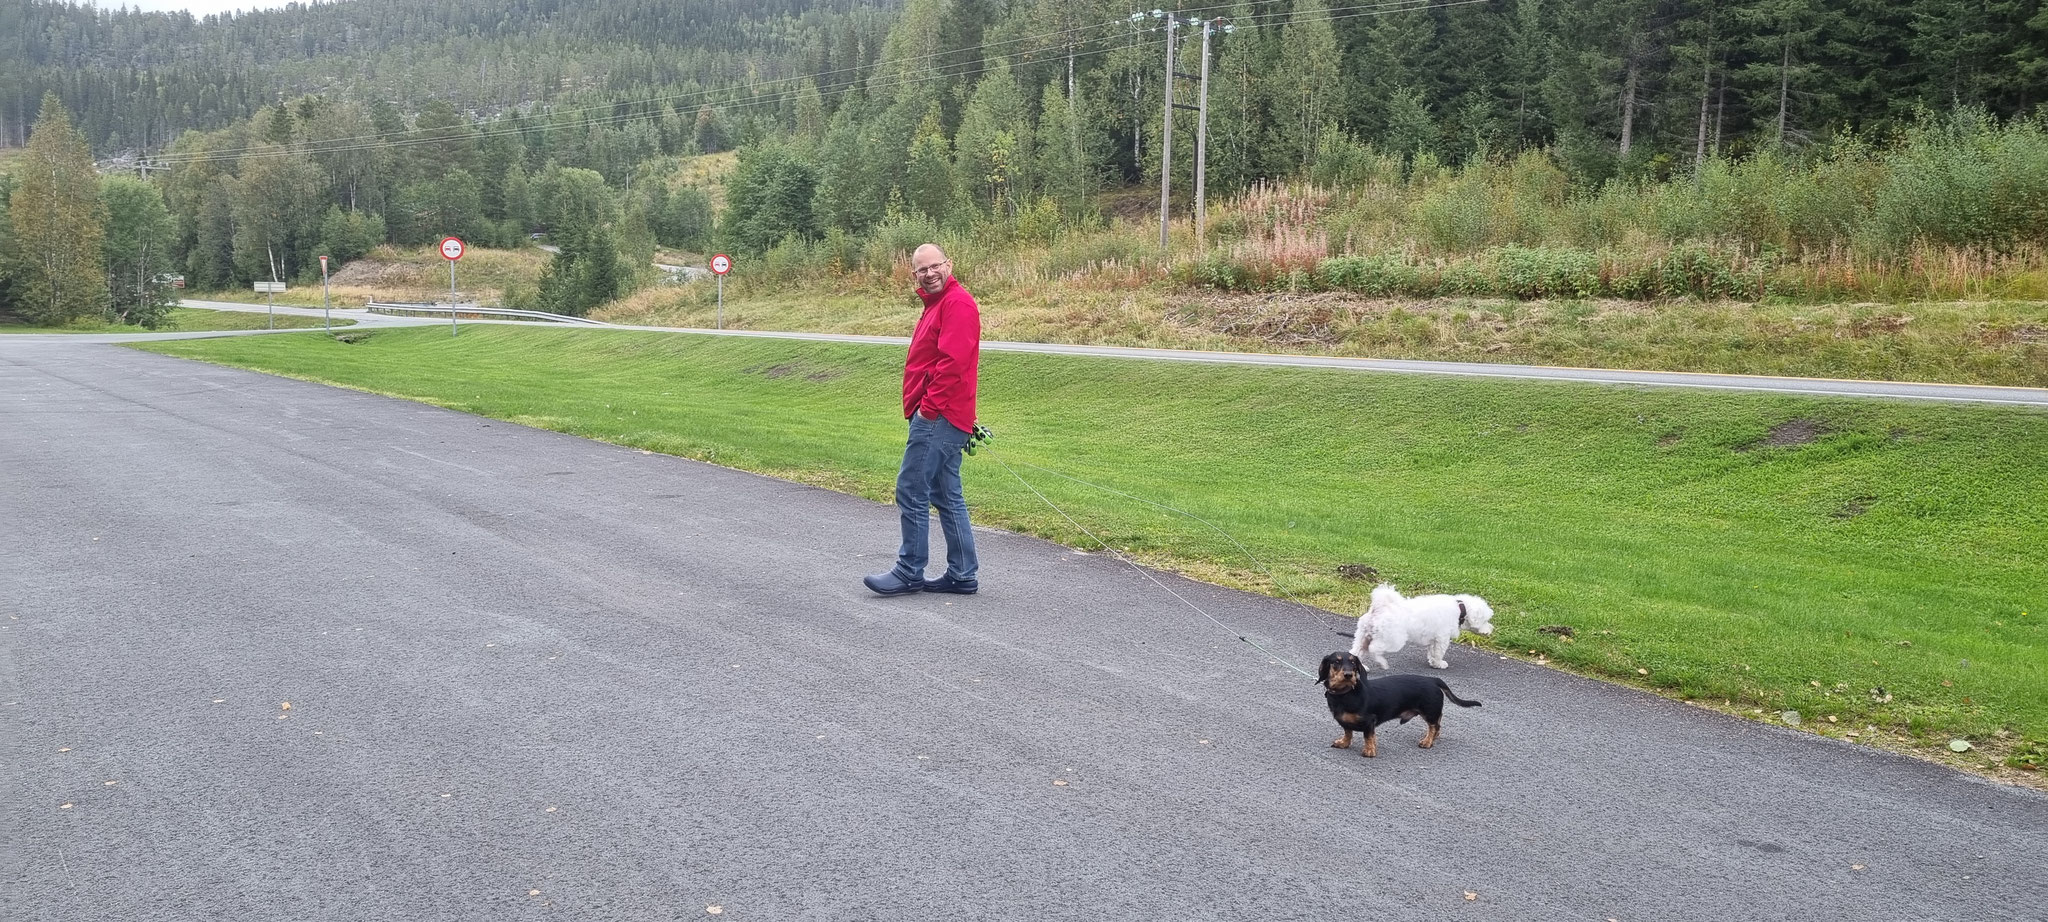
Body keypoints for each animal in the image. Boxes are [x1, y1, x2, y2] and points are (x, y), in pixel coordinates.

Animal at [1351, 581, 1499, 667]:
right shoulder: (1442, 638)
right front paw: (1439, 664)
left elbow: (1432, 652)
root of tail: (1381, 608)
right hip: (1392, 639)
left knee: (1357, 651)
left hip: (1363, 635)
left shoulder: (1434, 639)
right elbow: (1438, 652)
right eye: (1486, 620)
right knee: (1373, 648)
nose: (1491, 629)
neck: (1460, 609)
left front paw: (1433, 662)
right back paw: (1381, 662)